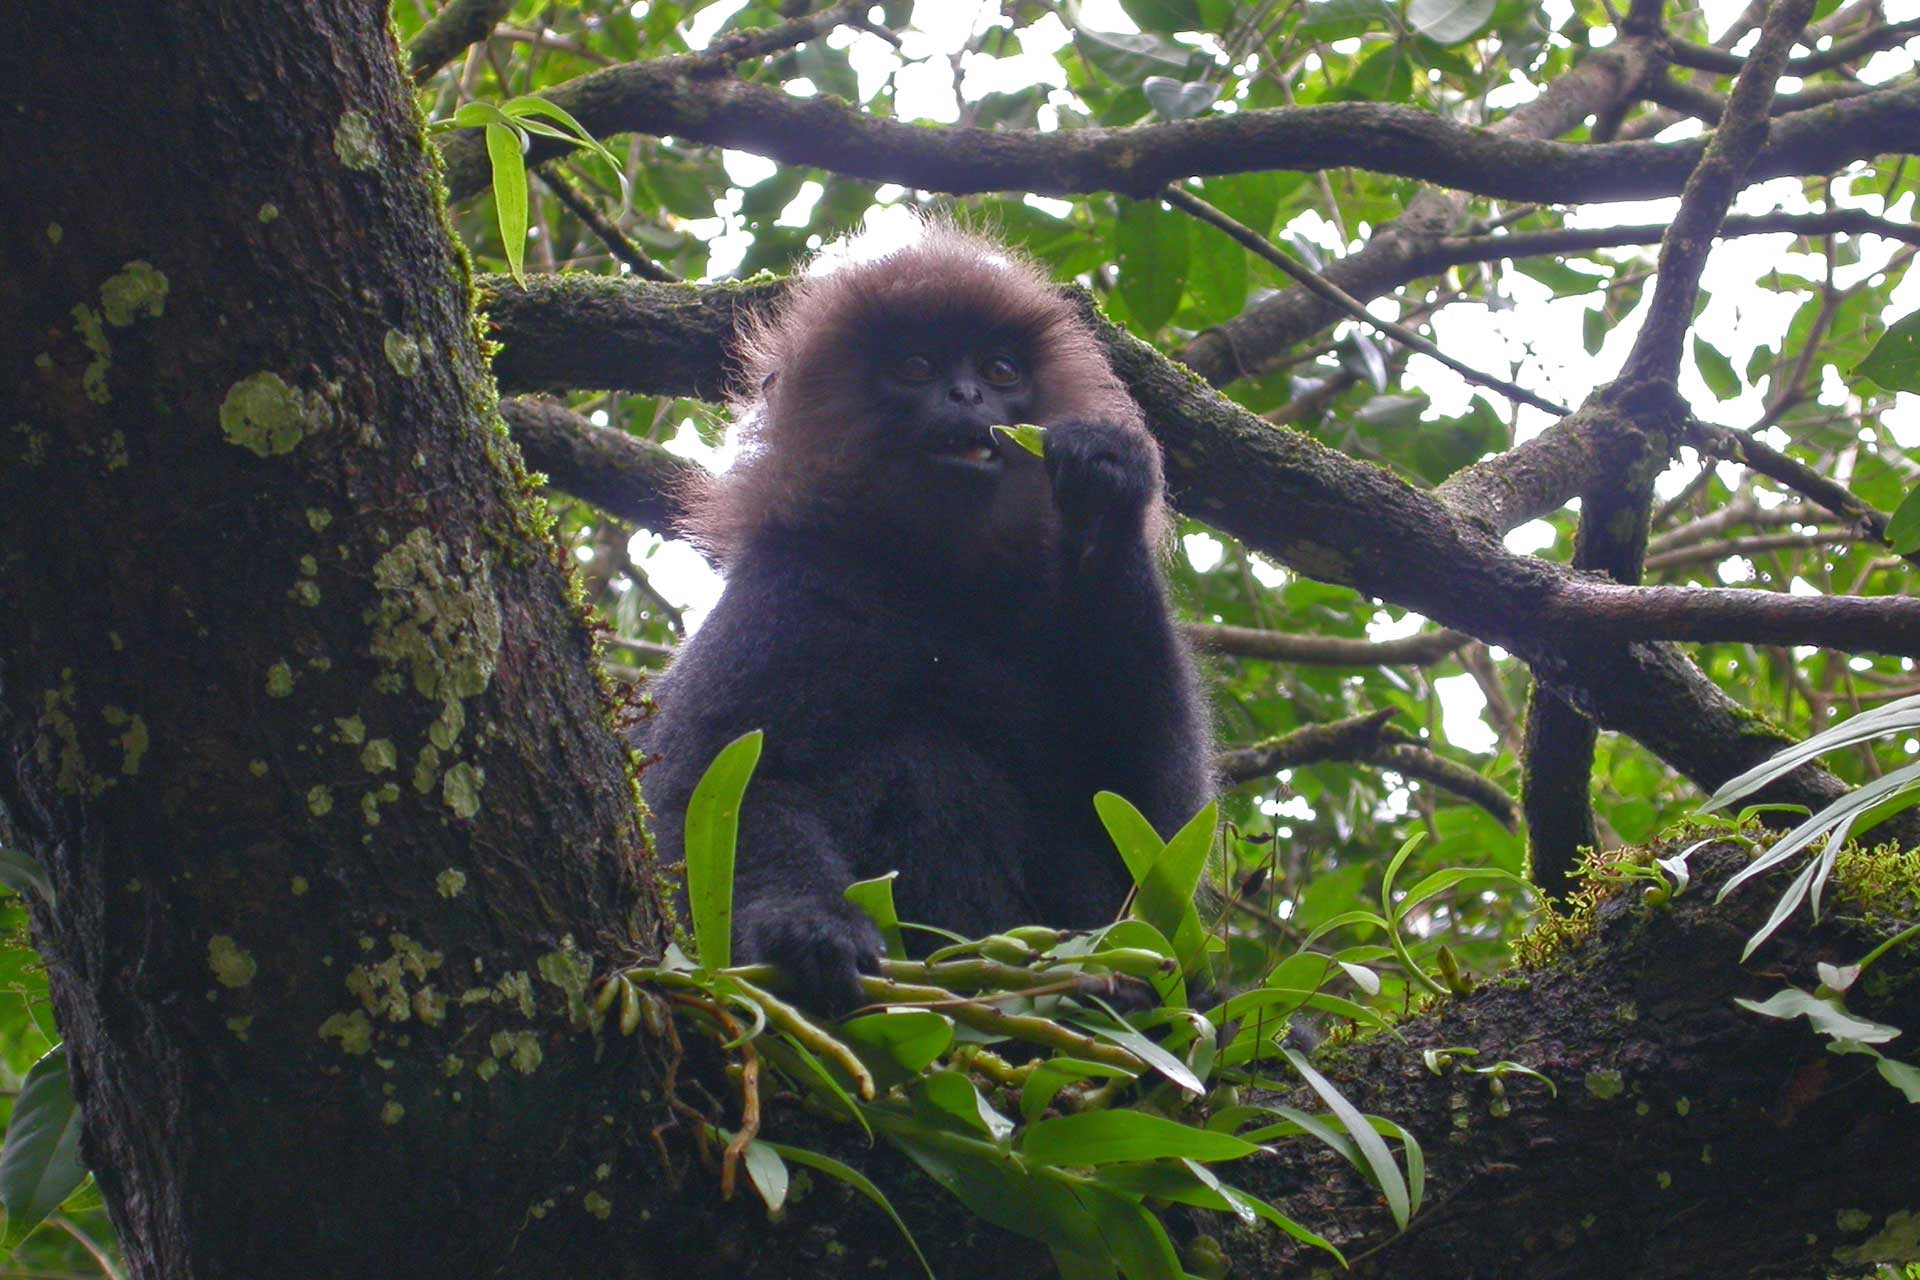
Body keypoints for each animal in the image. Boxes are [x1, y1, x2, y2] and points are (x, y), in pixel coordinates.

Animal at [637, 226, 1213, 1013]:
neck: (940, 583)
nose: (967, 394)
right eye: (915, 366)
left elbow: (1148, 829)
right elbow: (716, 779)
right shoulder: (787, 589)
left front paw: (1105, 492)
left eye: (999, 369)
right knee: (921, 762)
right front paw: (805, 926)